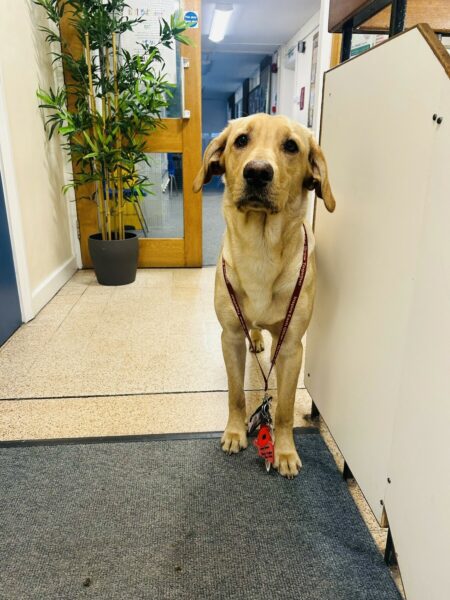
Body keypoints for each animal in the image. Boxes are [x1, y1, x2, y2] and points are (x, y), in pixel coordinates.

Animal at [192, 112, 334, 478]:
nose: (257, 172)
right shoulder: (229, 336)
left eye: (291, 146)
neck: (261, 249)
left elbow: (283, 408)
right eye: (241, 140)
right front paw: (234, 432)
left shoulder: (292, 348)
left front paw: (283, 450)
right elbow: (236, 394)